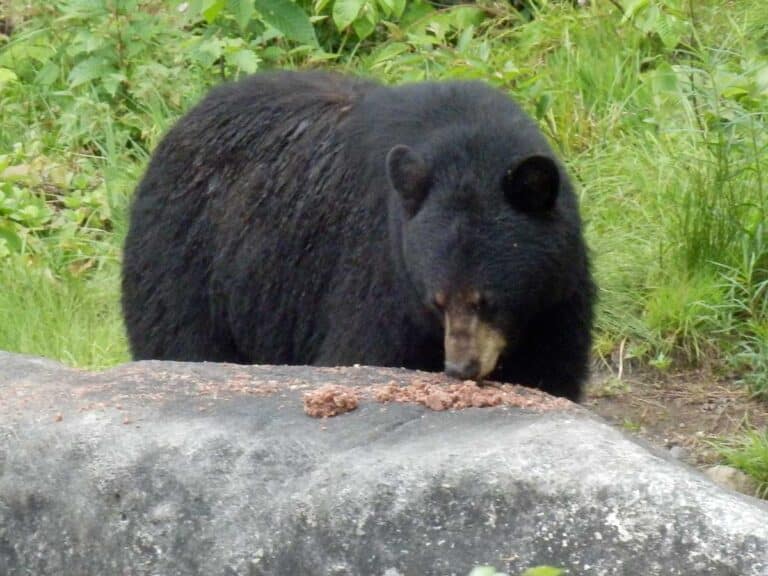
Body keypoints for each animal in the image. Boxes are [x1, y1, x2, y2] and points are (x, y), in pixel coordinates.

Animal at [122, 70, 595, 401]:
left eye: (487, 300)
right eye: (436, 301)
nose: (461, 367)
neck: (467, 144)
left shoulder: (556, 297)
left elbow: (551, 369)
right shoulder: (379, 272)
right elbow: (362, 350)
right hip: (186, 263)